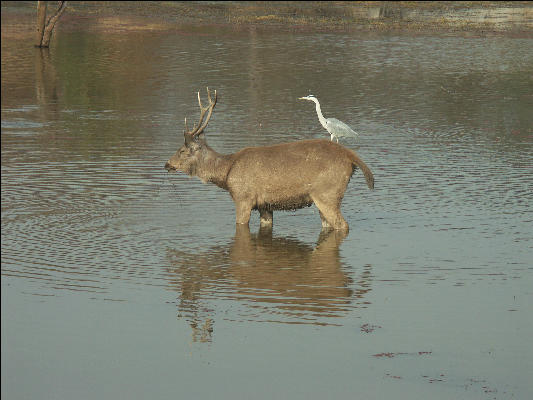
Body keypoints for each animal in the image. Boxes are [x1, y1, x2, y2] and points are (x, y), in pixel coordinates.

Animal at [163, 88, 374, 231]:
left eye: (182, 150)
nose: (167, 164)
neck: (226, 173)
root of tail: (351, 157)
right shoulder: (265, 206)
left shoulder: (243, 197)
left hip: (327, 193)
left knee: (343, 225)